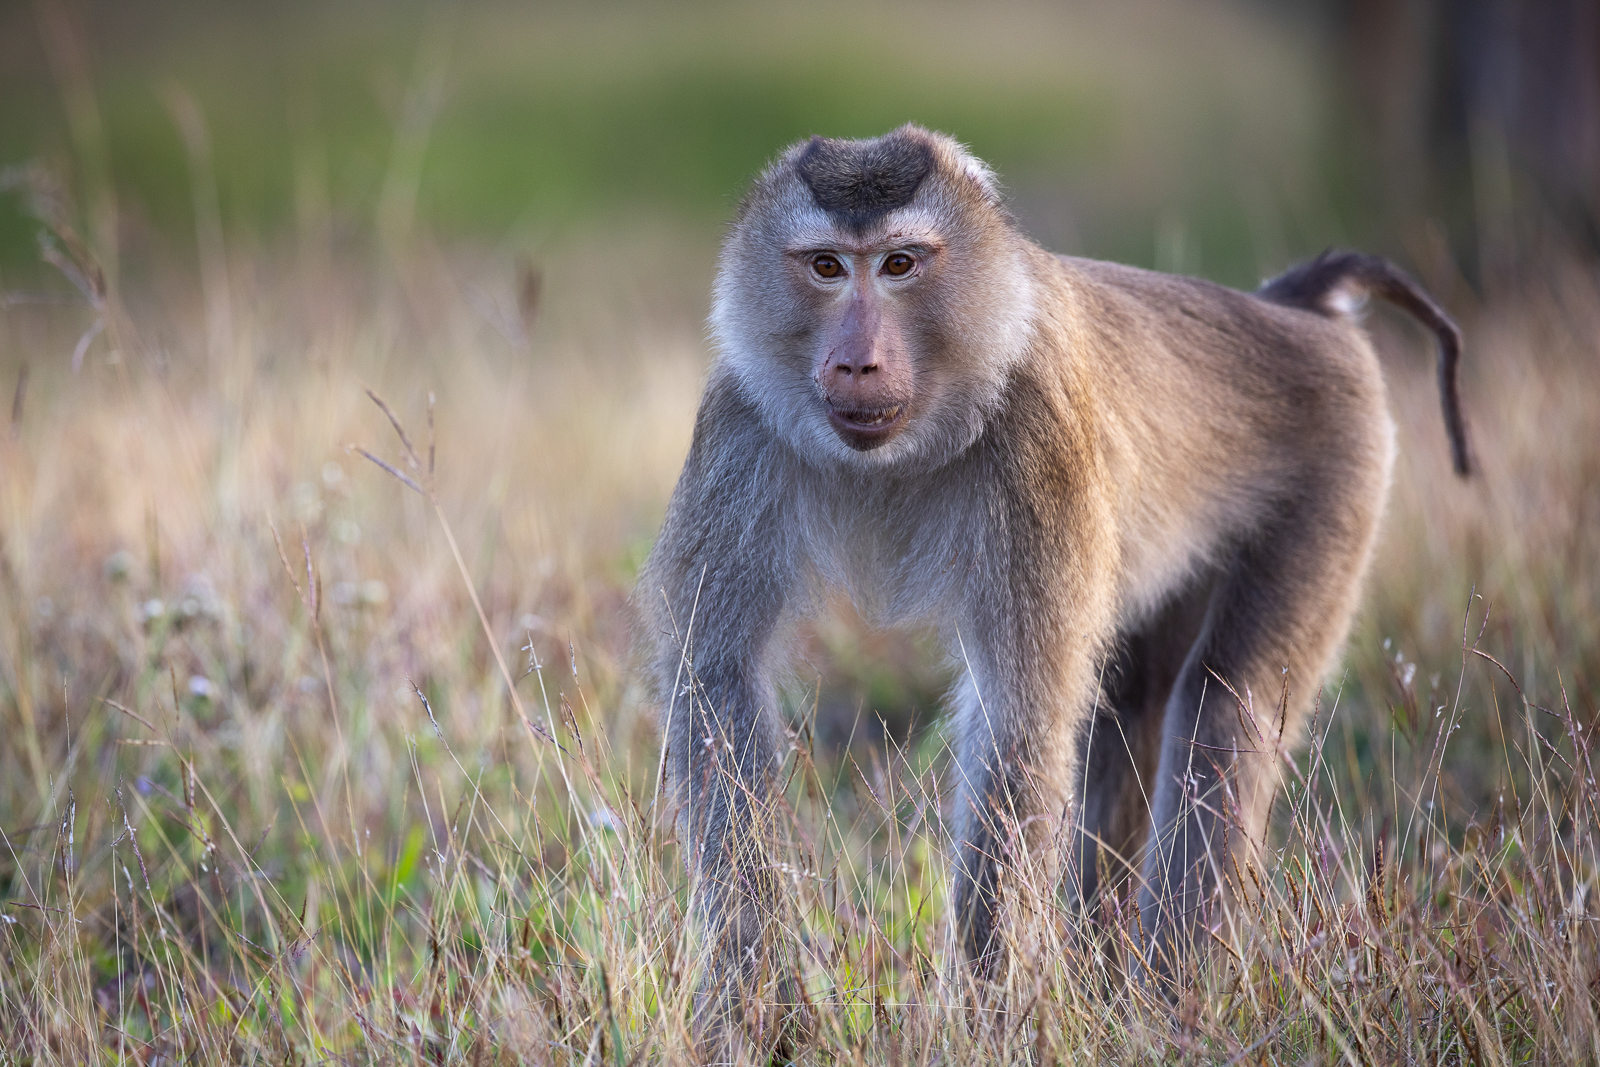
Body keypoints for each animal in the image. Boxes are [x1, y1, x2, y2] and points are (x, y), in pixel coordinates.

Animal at [636, 124, 1470, 1047]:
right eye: (826, 266)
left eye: (898, 264)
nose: (856, 362)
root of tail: (1297, 309)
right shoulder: (742, 421)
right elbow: (719, 682)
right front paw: (758, 1003)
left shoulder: (1035, 435)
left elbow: (1019, 711)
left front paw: (984, 1020)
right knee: (1135, 703)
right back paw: (1109, 985)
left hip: (1341, 462)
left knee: (1226, 703)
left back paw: (1165, 1002)